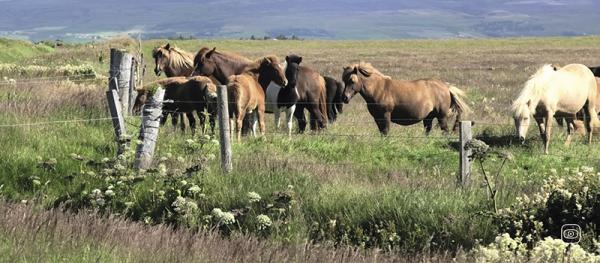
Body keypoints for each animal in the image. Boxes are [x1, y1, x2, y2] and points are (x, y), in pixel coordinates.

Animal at [340, 62, 472, 135]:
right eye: (344, 80)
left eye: (352, 80)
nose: (344, 98)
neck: (379, 89)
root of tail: (446, 87)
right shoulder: (377, 118)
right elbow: (382, 133)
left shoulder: (385, 116)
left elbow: (386, 132)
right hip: (428, 118)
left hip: (442, 117)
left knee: (445, 132)